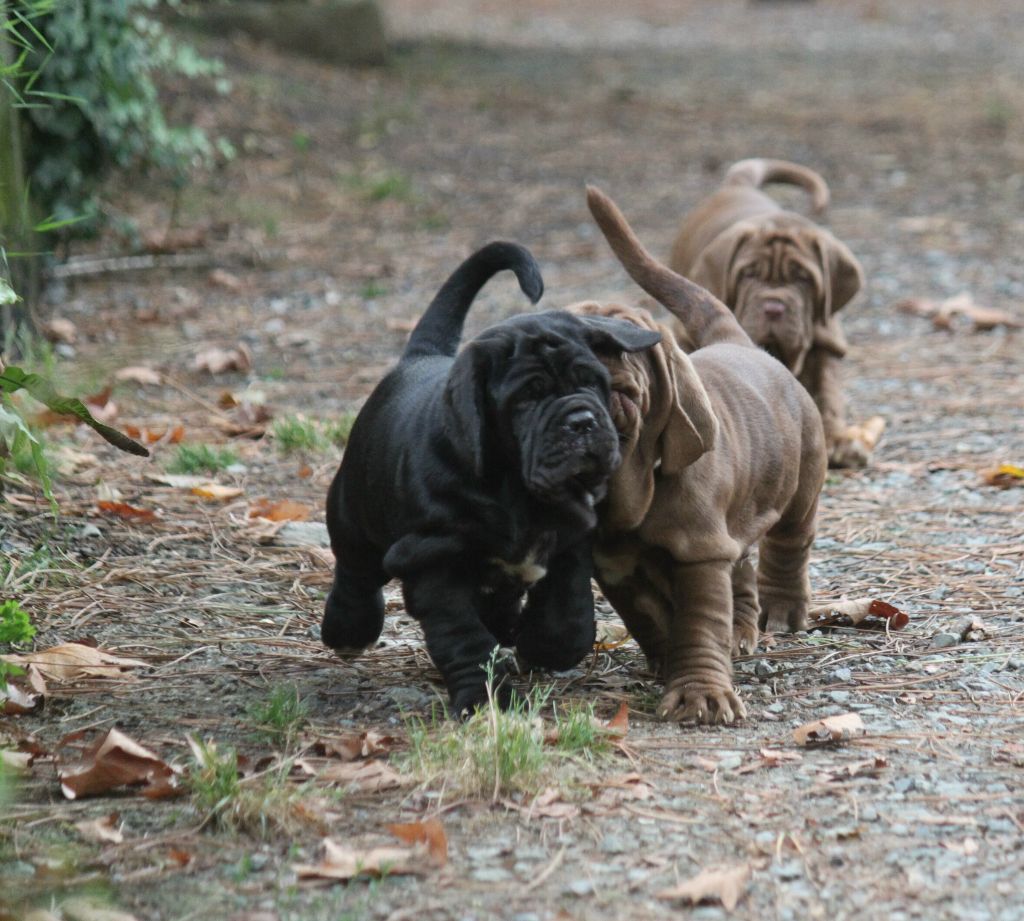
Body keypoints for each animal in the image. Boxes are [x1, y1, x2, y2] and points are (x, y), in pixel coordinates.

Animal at [323, 242, 659, 713]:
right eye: (527, 398)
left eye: (592, 381)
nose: (582, 420)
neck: (518, 491)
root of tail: (418, 356)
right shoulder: (431, 560)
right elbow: (464, 639)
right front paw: (483, 699)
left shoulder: (573, 537)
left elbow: (569, 615)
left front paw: (541, 646)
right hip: (353, 510)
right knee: (355, 570)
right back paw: (347, 630)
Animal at [581, 189, 827, 729]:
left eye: (628, 342)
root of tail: (737, 340)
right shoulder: (615, 564)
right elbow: (651, 618)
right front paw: (666, 661)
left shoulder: (699, 550)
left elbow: (698, 623)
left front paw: (701, 696)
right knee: (742, 565)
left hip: (801, 485)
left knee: (788, 546)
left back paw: (781, 612)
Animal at [671, 157, 872, 469]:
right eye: (748, 273)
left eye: (803, 277)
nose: (774, 307)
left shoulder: (827, 343)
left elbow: (827, 393)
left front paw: (838, 440)